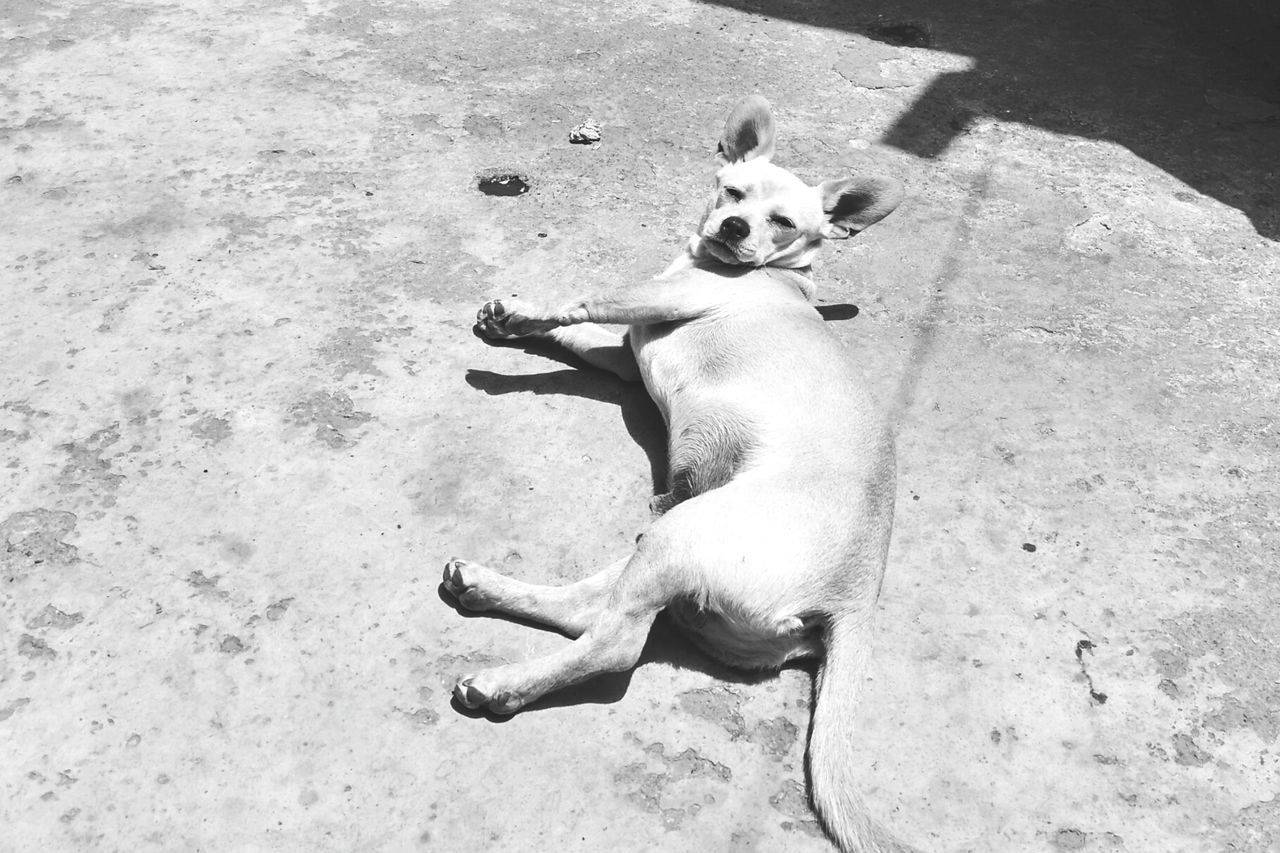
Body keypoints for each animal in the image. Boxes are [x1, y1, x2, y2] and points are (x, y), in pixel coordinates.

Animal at [445, 96, 916, 850]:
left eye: (784, 223)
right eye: (733, 193)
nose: (733, 229)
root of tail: (854, 599)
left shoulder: (655, 301)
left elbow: (588, 299)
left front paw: (522, 312)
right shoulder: (623, 355)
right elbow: (580, 337)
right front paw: (509, 322)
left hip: (684, 535)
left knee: (613, 647)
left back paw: (504, 685)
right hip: (670, 542)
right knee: (586, 610)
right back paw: (485, 588)